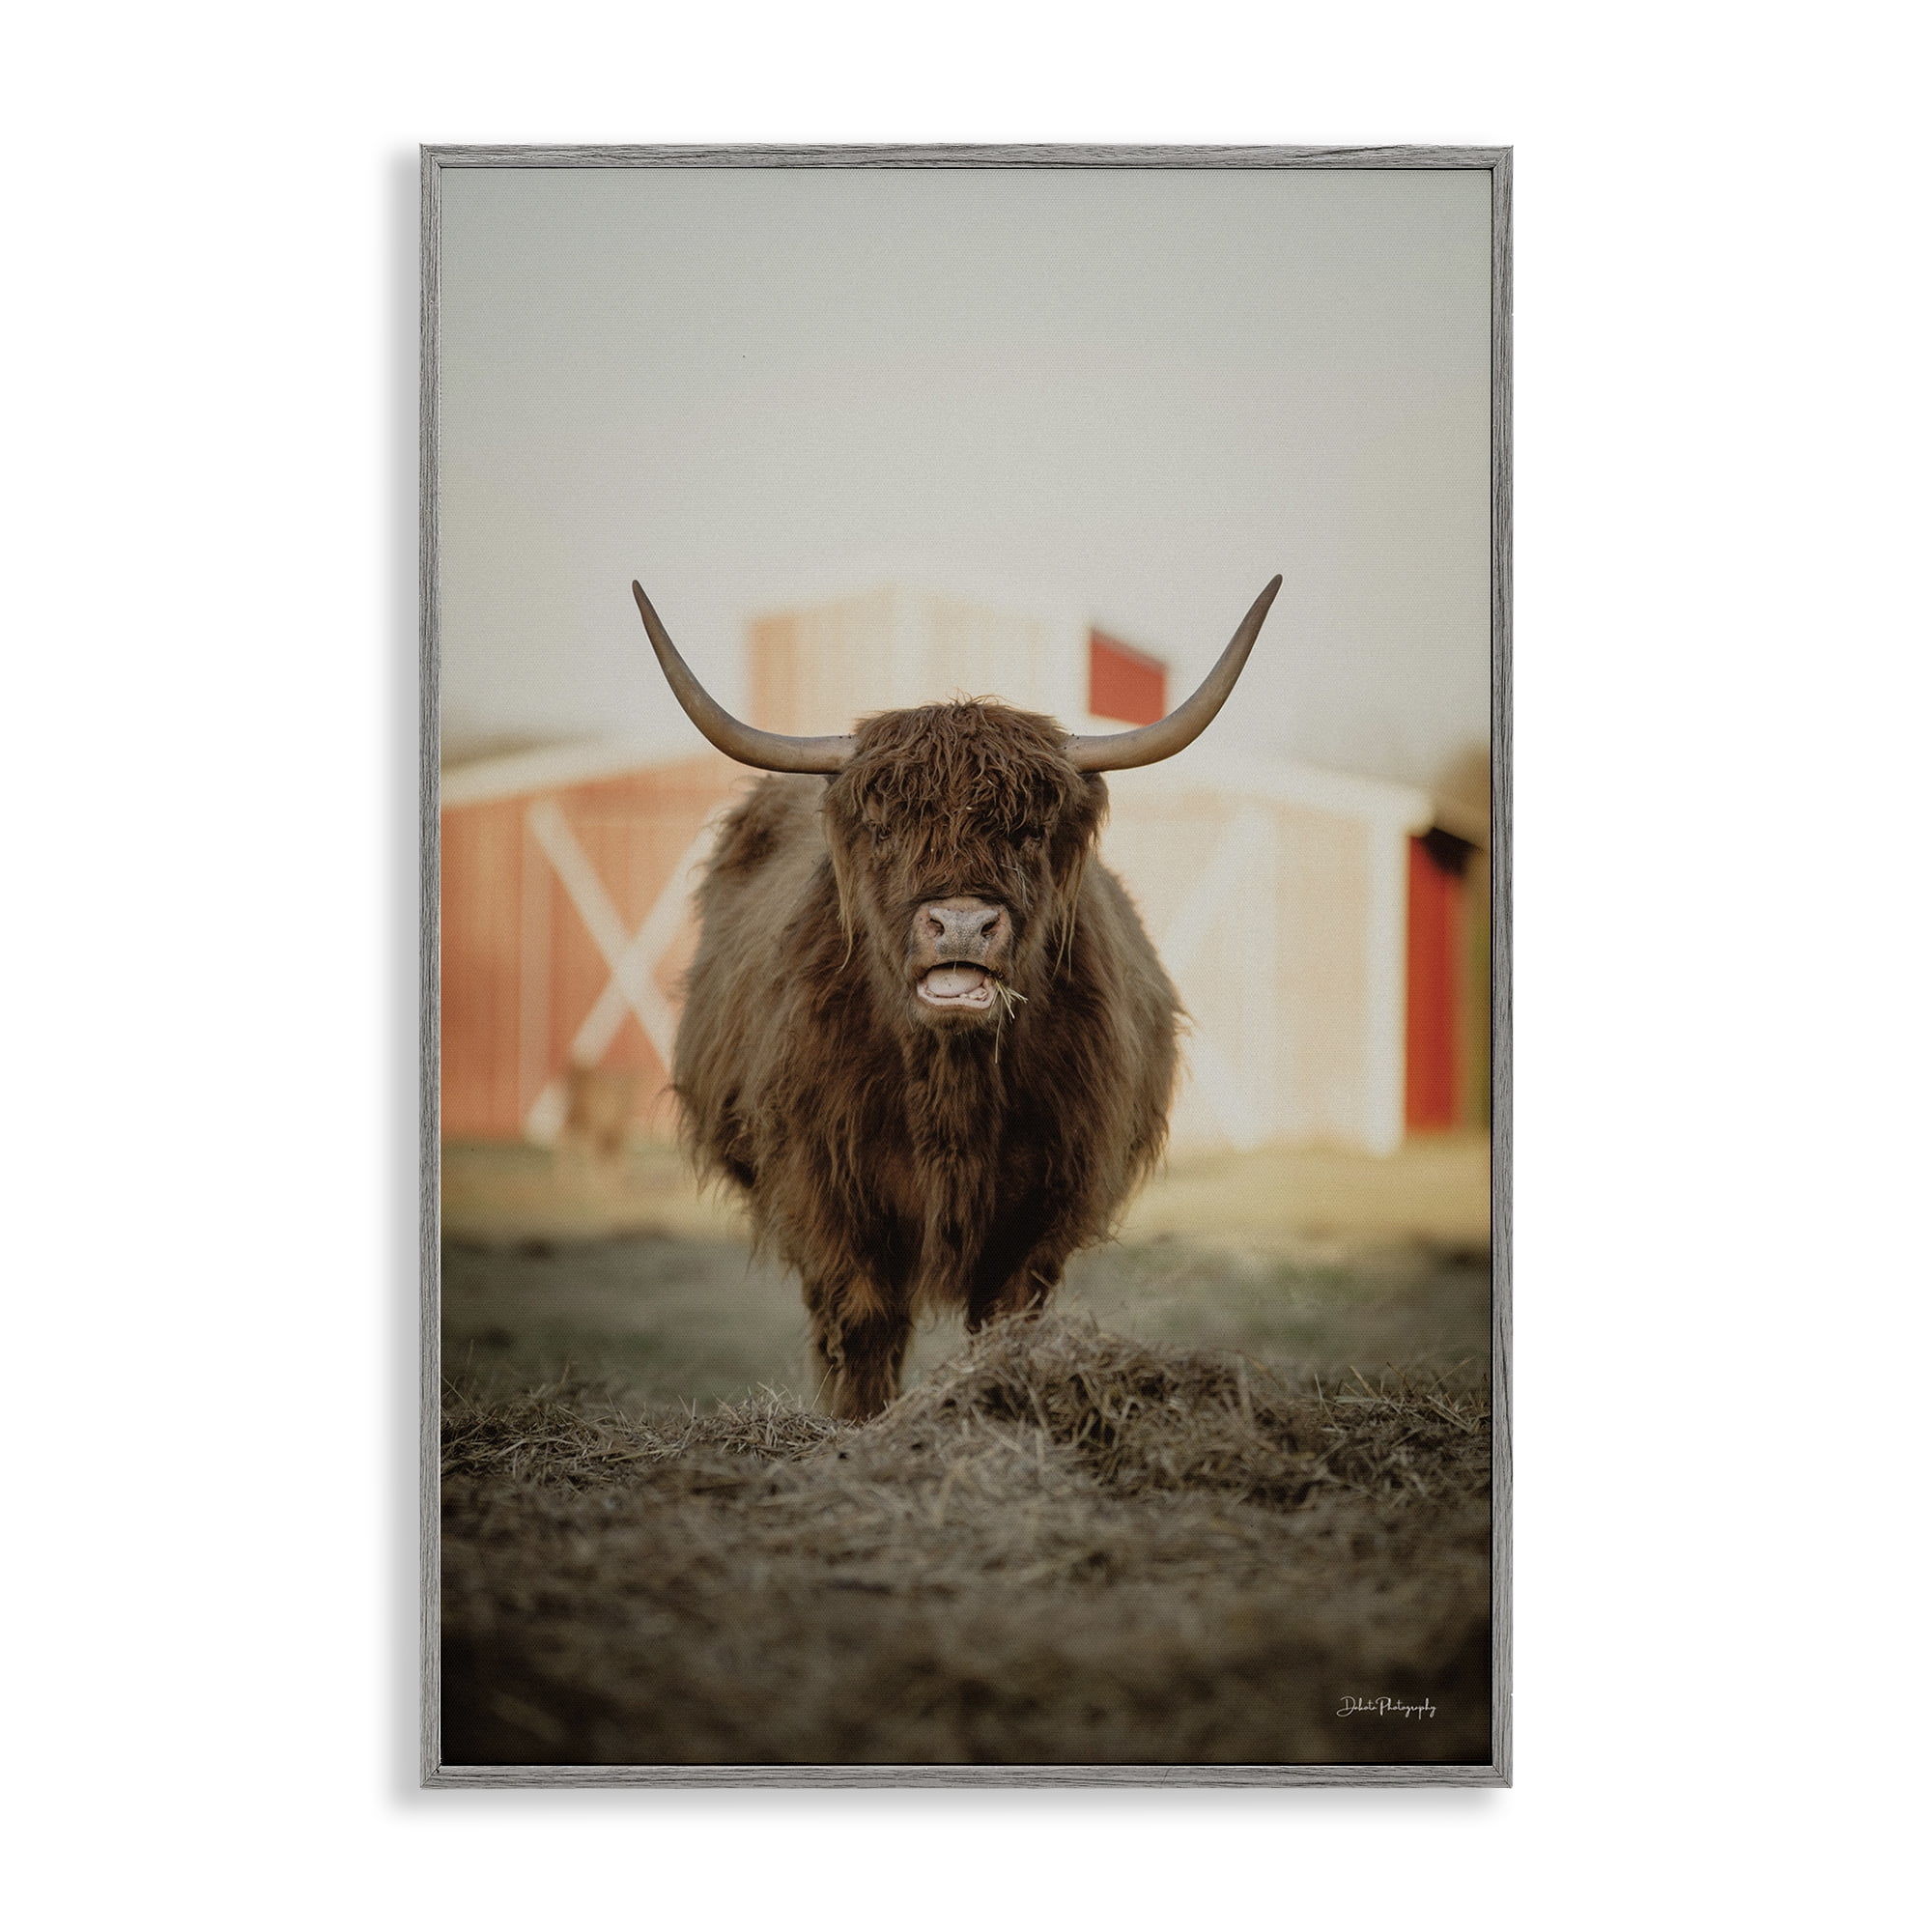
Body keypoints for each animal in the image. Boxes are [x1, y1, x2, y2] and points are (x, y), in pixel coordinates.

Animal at [631, 576, 1280, 1419]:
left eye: (1030, 830)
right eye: (883, 826)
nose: (963, 923)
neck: (950, 1087)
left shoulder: (1045, 1202)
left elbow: (1004, 1318)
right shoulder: (824, 1187)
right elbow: (863, 1322)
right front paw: (863, 1425)